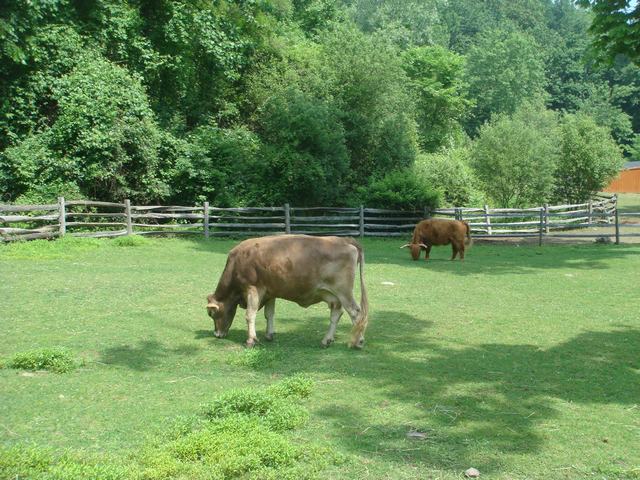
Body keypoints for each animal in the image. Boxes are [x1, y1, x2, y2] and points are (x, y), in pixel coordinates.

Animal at [208, 236, 368, 348]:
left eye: (212, 314)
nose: (217, 334)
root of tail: (344, 240)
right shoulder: (269, 292)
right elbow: (269, 314)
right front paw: (269, 335)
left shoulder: (253, 288)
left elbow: (250, 315)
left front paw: (251, 340)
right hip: (333, 296)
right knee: (336, 314)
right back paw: (326, 340)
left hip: (344, 292)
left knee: (355, 313)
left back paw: (358, 341)